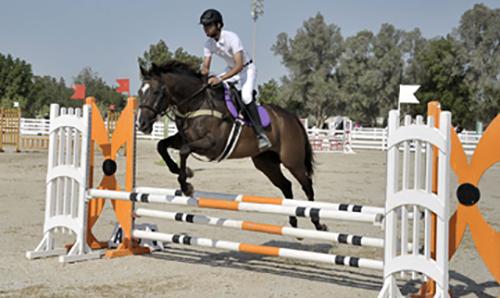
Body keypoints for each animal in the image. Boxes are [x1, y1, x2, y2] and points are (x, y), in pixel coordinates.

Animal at [137, 61, 326, 232]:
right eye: (140, 92)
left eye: (156, 92)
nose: (142, 124)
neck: (197, 103)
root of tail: (292, 118)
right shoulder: (183, 138)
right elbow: (161, 145)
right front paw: (183, 172)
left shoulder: (212, 145)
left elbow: (184, 151)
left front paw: (186, 186)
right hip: (266, 163)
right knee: (286, 185)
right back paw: (293, 222)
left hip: (292, 162)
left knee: (307, 186)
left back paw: (318, 223)